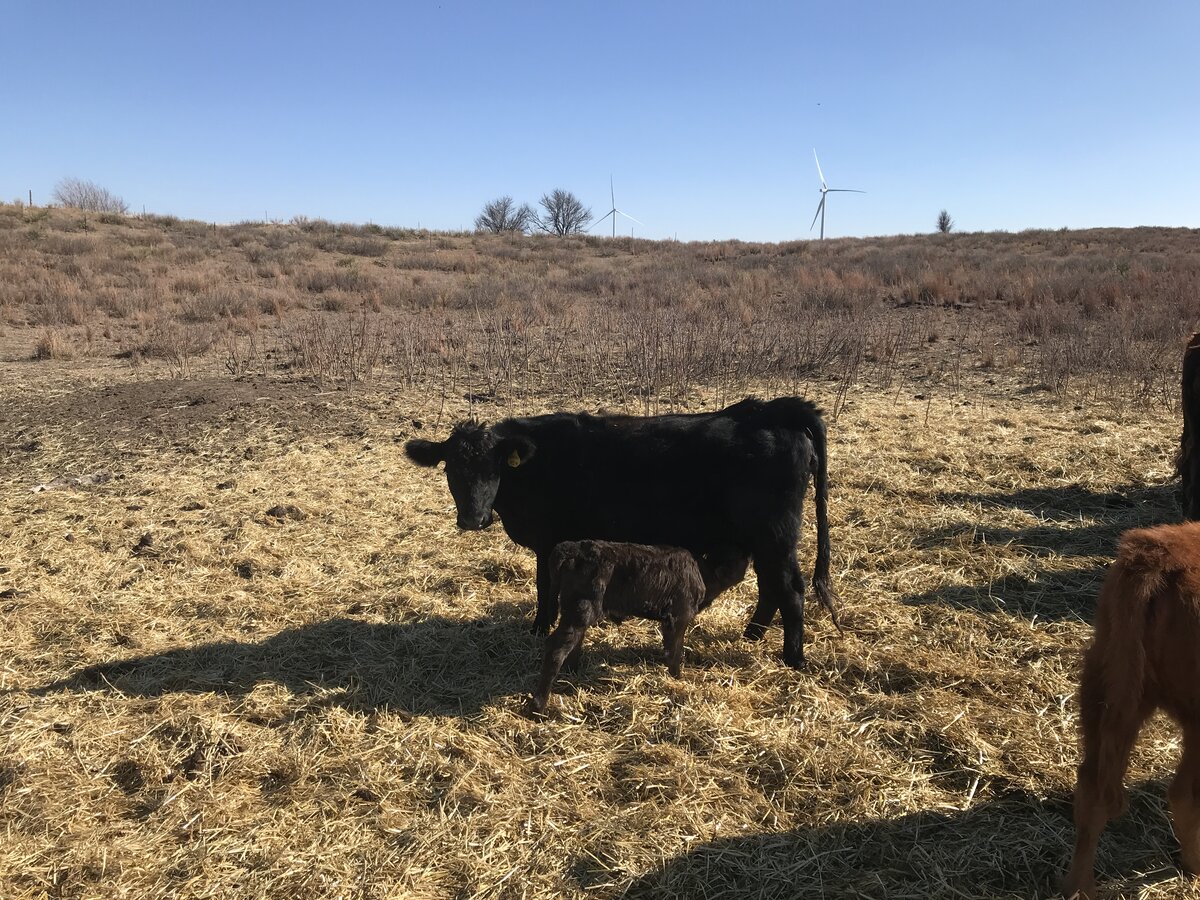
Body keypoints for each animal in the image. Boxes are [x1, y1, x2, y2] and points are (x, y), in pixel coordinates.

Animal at [404, 396, 838, 669]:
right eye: (451, 468)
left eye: (493, 467)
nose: (472, 519)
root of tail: (771, 410)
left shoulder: (551, 541)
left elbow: (545, 588)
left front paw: (539, 628)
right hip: (762, 539)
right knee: (771, 588)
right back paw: (752, 635)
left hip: (775, 536)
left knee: (790, 590)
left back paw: (793, 658)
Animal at [527, 540, 750, 715]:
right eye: (738, 557)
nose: (748, 552)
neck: (702, 571)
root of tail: (571, 549)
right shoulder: (678, 617)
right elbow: (675, 651)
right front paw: (677, 679)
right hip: (581, 609)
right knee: (557, 648)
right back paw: (538, 706)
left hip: (576, 611)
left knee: (572, 643)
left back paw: (571, 674)